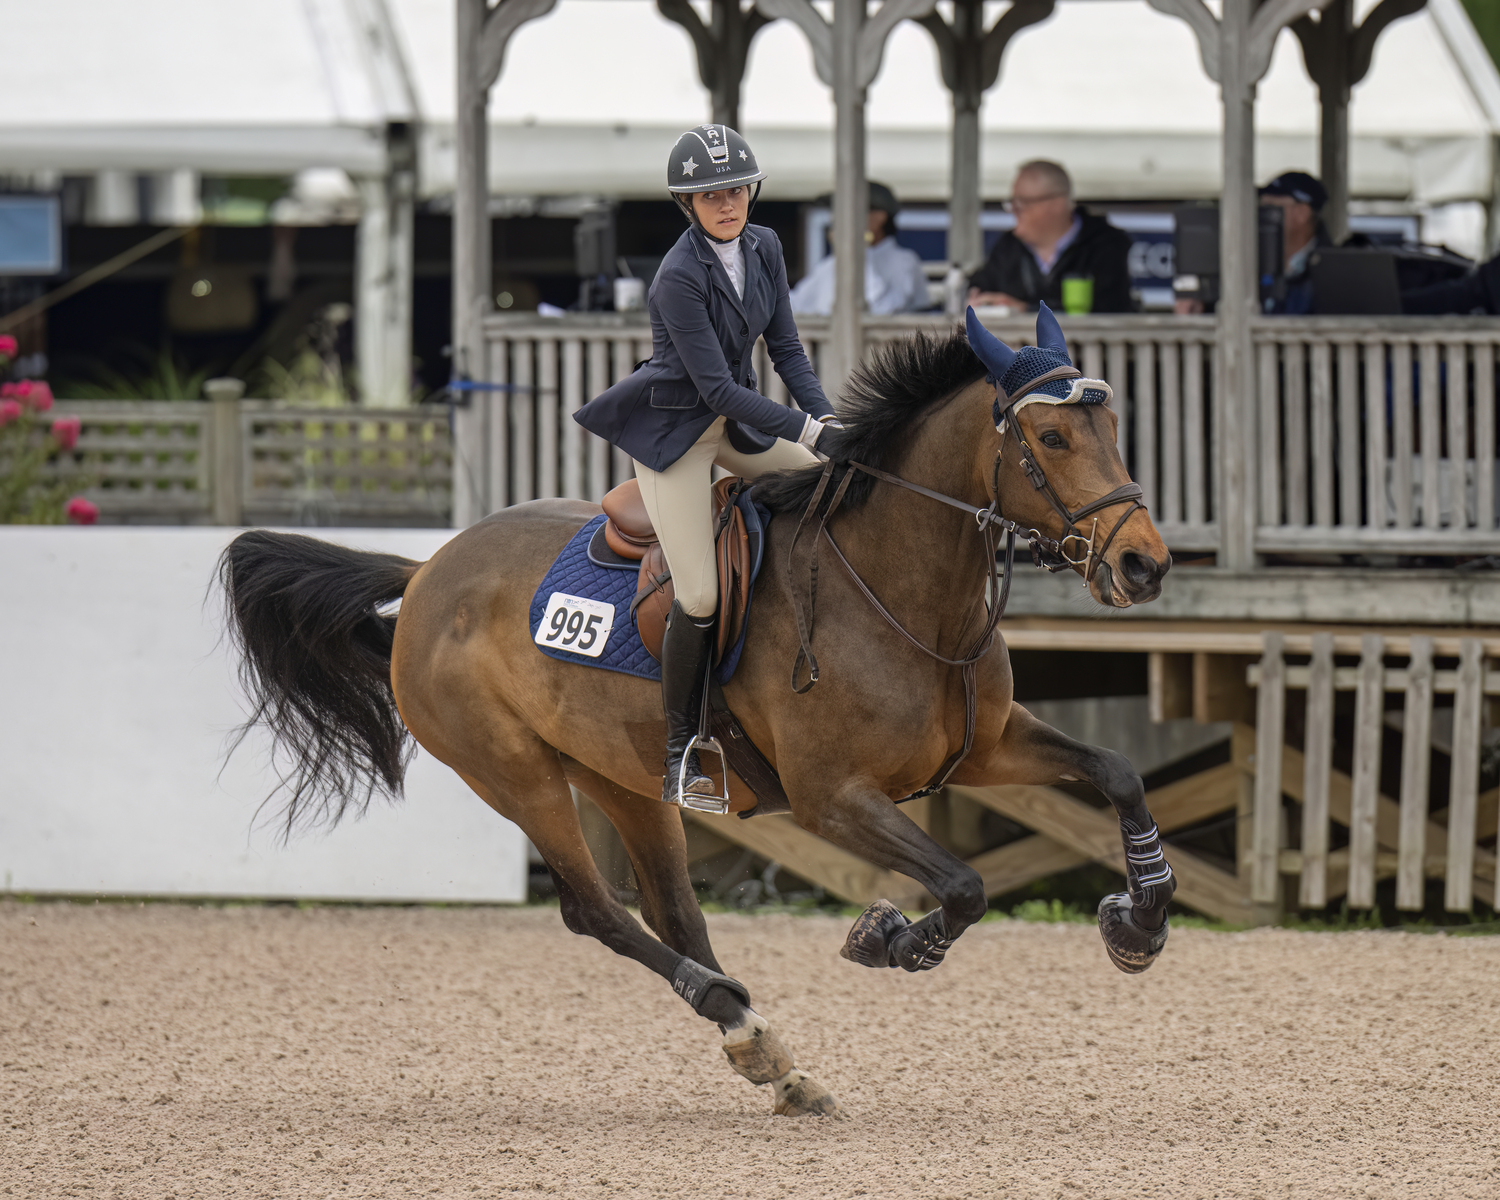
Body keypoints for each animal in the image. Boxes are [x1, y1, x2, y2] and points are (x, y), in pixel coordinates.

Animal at [222, 313, 1176, 1122]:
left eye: (1114, 429)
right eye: (1051, 438)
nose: (1145, 565)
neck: (904, 591)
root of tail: (425, 573)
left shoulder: (982, 750)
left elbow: (1118, 774)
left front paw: (1140, 922)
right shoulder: (832, 797)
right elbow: (965, 886)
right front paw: (890, 939)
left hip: (622, 775)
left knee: (675, 912)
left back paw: (775, 1064)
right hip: (515, 773)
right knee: (598, 910)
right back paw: (743, 1023)